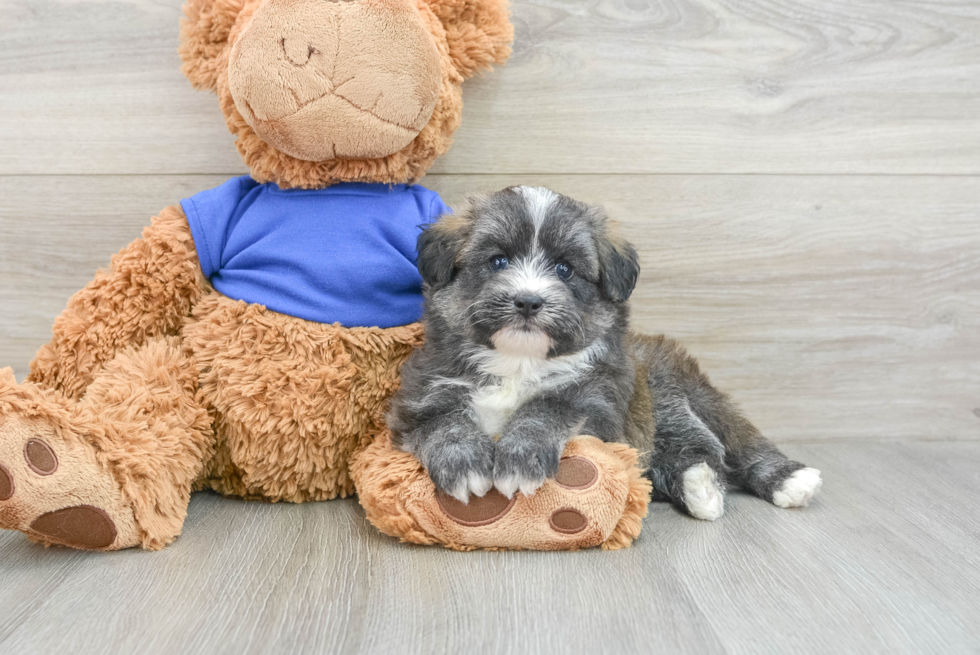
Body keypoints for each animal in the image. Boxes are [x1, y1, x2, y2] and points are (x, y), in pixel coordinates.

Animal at [386, 187, 824, 520]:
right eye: (498, 261)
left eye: (564, 269)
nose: (528, 301)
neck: (518, 362)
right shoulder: (419, 403)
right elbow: (445, 423)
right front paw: (463, 465)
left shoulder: (596, 405)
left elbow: (548, 408)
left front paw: (521, 456)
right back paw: (699, 489)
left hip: (680, 397)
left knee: (725, 443)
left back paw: (771, 482)